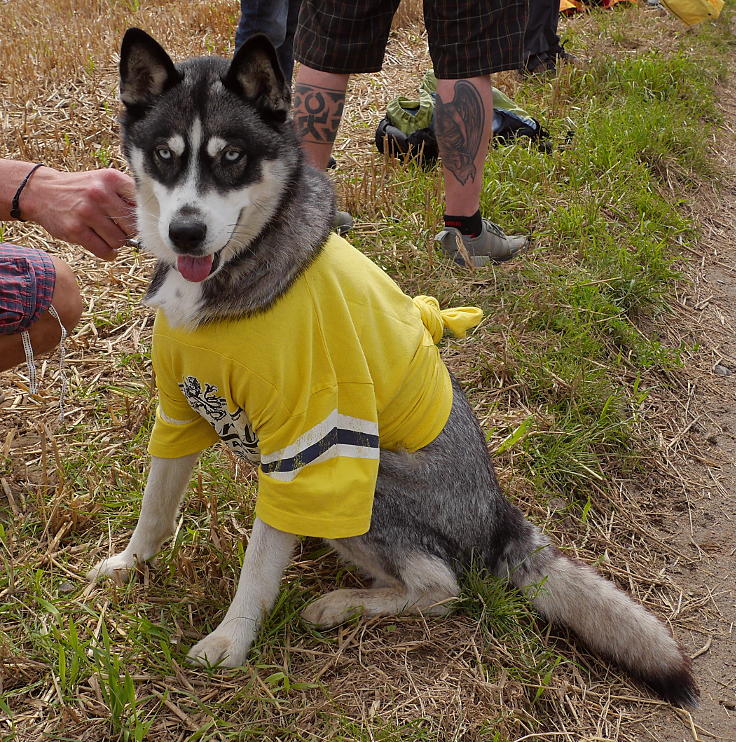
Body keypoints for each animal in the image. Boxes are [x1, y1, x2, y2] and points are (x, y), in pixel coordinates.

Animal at [86, 27, 696, 708]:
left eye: (233, 157)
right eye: (165, 155)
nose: (186, 232)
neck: (238, 278)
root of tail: (499, 517)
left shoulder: (307, 446)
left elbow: (255, 572)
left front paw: (231, 641)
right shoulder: (180, 408)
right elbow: (155, 508)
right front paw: (131, 565)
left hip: (366, 479)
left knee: (442, 587)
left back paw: (341, 603)